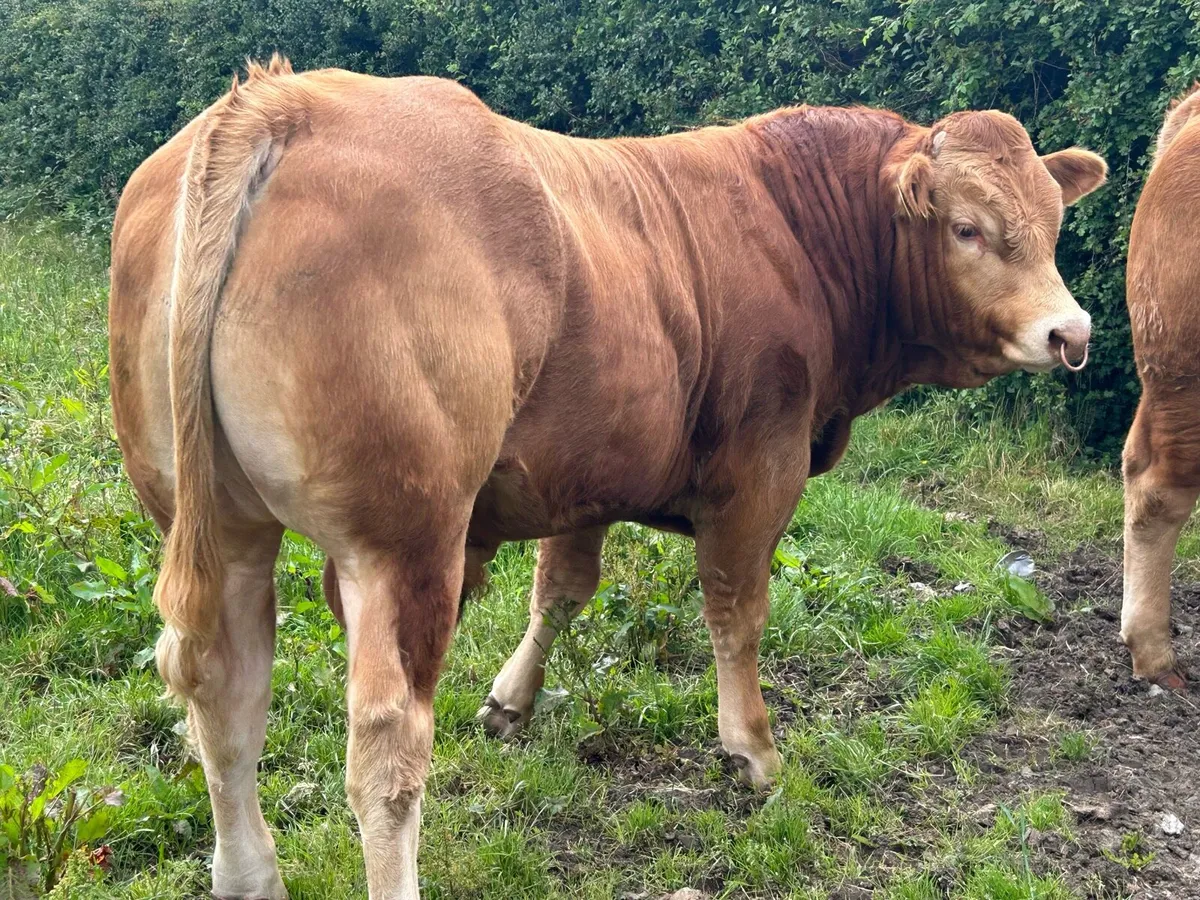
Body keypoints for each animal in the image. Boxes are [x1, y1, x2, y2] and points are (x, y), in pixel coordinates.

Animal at [109, 55, 1106, 899]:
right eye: (969, 228)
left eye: (1053, 225)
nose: (1072, 333)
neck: (791, 227)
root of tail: (281, 100)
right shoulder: (763, 467)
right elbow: (737, 612)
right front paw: (752, 751)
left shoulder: (585, 471)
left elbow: (563, 587)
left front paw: (511, 701)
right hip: (403, 541)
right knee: (386, 747)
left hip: (221, 524)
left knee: (225, 696)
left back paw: (248, 875)